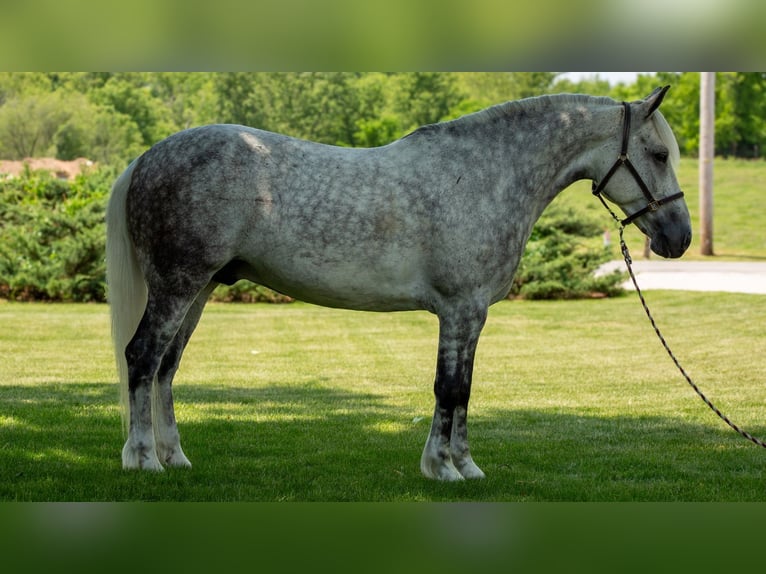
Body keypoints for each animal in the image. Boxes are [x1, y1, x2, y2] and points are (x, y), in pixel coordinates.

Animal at [106, 86, 691, 481]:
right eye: (660, 154)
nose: (679, 237)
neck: (486, 175)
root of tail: (145, 158)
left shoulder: (473, 314)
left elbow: (464, 388)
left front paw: (465, 466)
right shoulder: (459, 309)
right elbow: (448, 387)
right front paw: (442, 467)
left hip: (200, 289)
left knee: (165, 366)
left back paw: (174, 457)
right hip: (178, 285)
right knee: (142, 356)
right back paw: (142, 460)